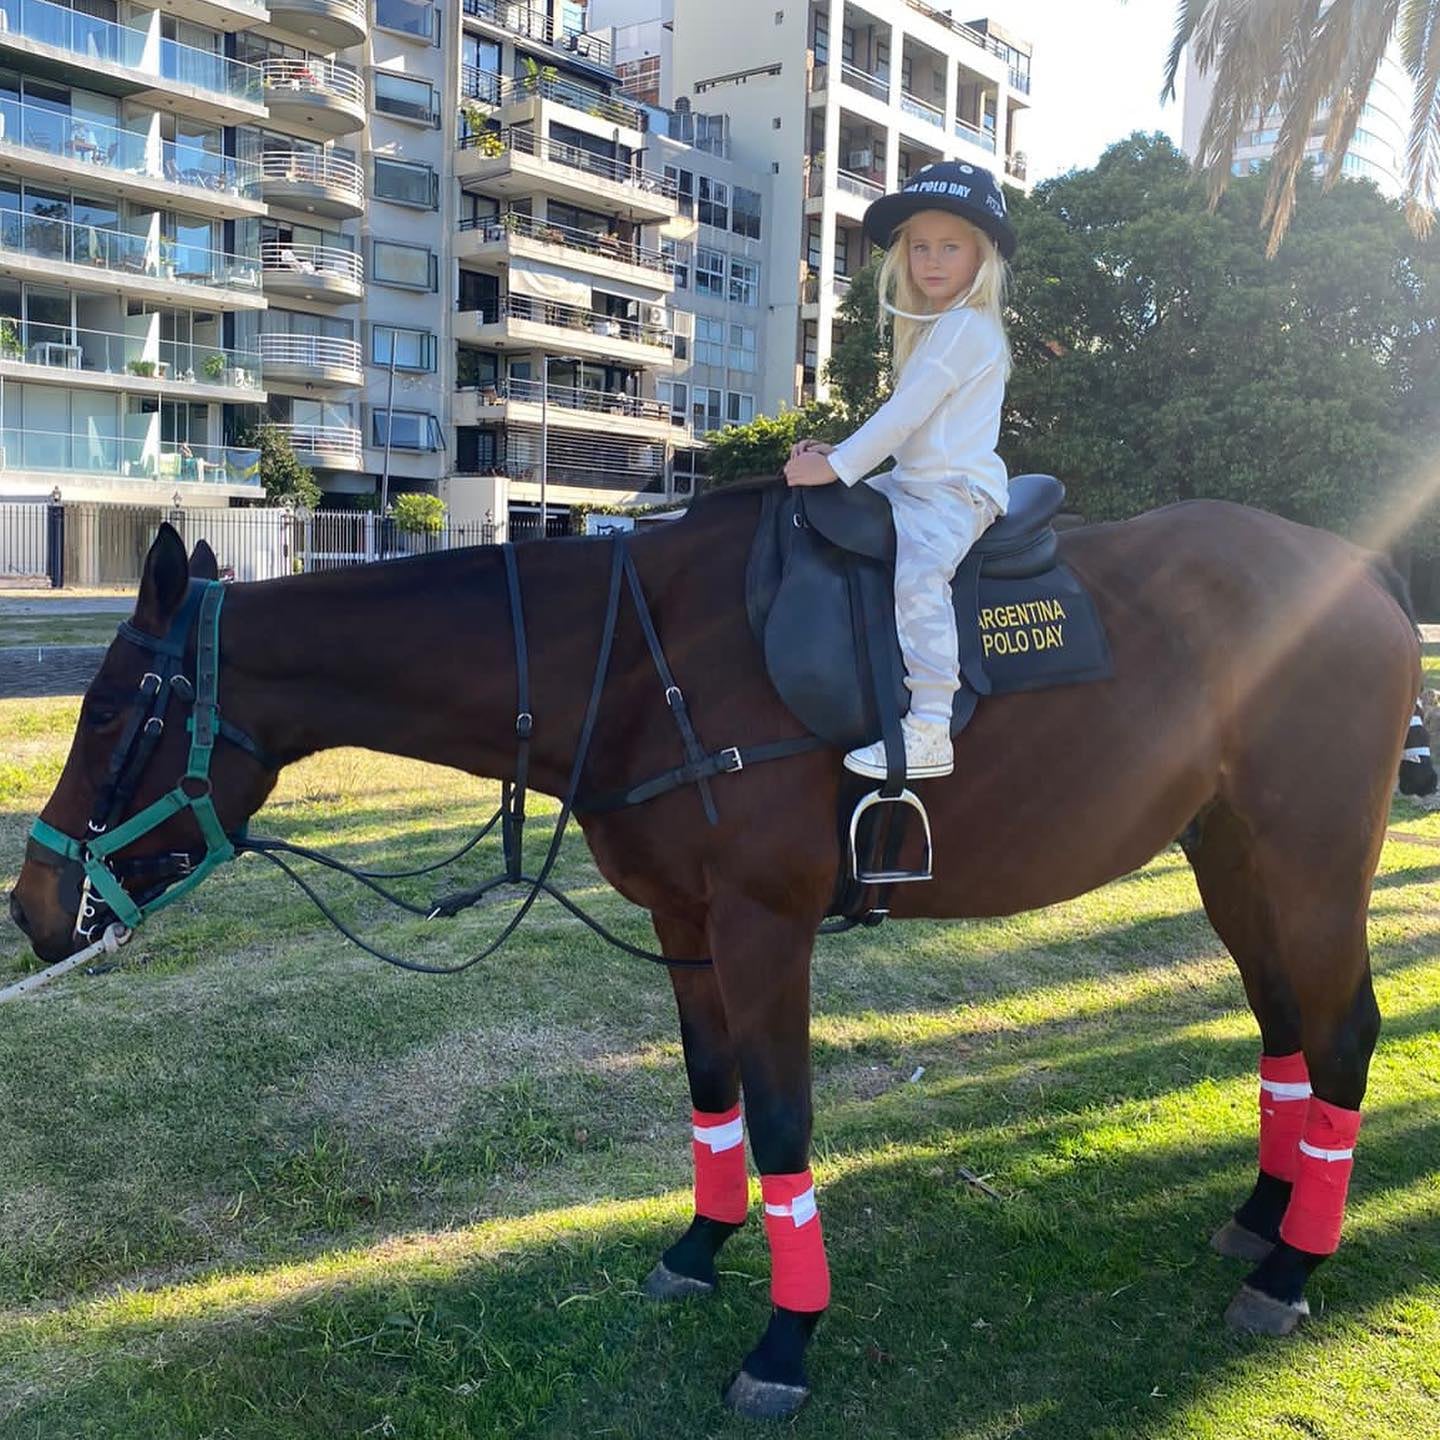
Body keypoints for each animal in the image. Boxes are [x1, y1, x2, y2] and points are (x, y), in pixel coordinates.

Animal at [8, 486, 1428, 1416]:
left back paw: (1297, 1260)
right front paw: (700, 1247)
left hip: (1312, 859)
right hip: (1232, 854)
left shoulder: (762, 922)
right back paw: (1264, 1213)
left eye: (113, 710)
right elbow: (712, 1096)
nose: (32, 904)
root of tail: (1367, 575)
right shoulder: (684, 924)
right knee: (1286, 1029)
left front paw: (788, 1336)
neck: (637, 663)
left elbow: (786, 1117)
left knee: (1344, 1031)